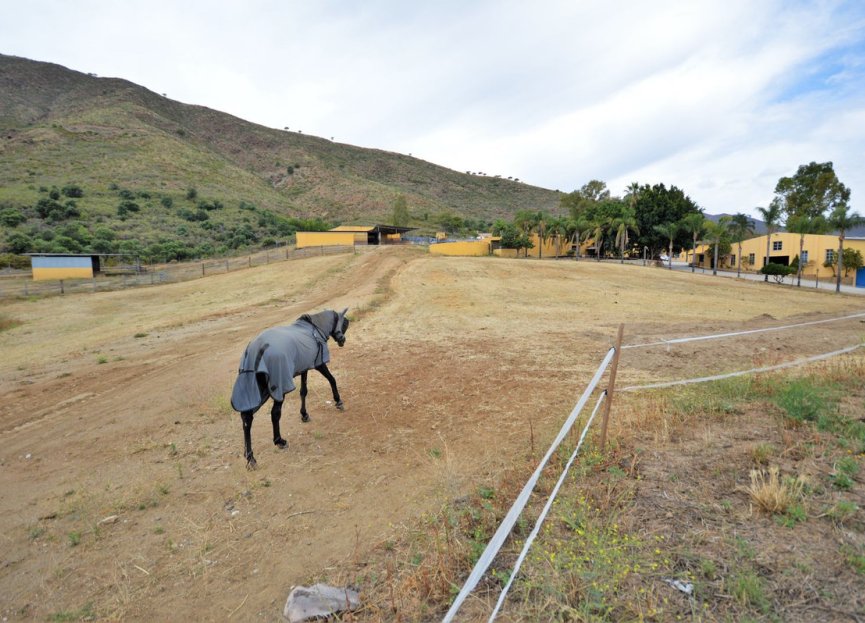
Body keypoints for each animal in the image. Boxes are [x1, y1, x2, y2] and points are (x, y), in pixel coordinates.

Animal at [233, 308, 352, 468]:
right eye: (343, 322)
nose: (342, 340)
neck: (315, 329)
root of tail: (257, 349)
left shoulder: (304, 368)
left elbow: (304, 392)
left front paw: (304, 414)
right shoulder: (319, 364)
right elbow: (332, 379)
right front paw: (338, 401)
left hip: (260, 390)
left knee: (247, 418)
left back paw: (250, 456)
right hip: (277, 388)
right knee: (274, 413)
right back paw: (279, 441)